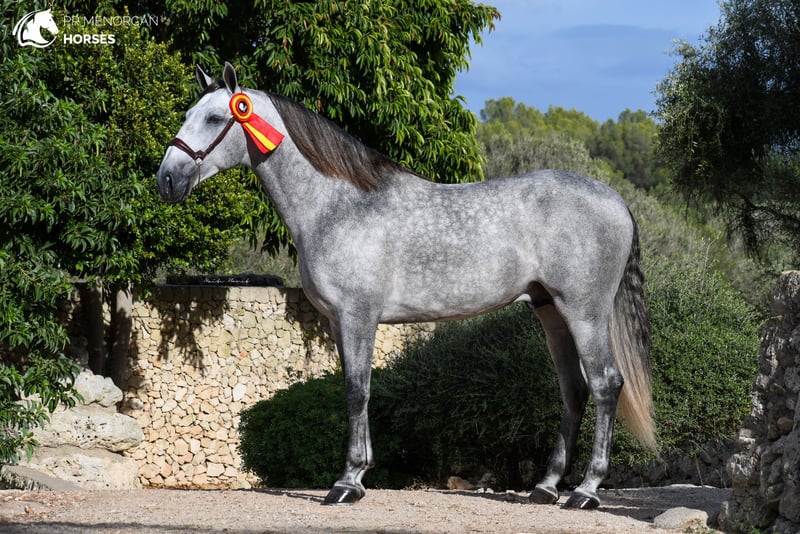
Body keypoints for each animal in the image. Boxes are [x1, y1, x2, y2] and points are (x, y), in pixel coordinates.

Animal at [157, 62, 657, 509]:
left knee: (606, 384)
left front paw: (347, 482)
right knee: (574, 390)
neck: (337, 206)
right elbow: (352, 389)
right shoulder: (338, 322)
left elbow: (357, 391)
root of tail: (616, 200)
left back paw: (586, 491)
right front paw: (357, 477)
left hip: (584, 312)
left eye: (216, 118)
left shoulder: (358, 316)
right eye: (188, 113)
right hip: (550, 310)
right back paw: (547, 487)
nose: (167, 179)